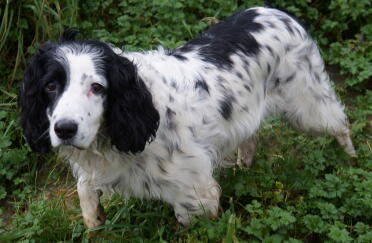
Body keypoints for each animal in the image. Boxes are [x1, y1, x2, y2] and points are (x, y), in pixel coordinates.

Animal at [20, 7, 358, 228]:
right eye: (50, 86)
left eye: (97, 87)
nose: (64, 129)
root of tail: (279, 12)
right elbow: (85, 190)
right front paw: (93, 216)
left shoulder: (196, 191)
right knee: (251, 137)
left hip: (307, 105)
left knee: (341, 123)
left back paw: (352, 160)